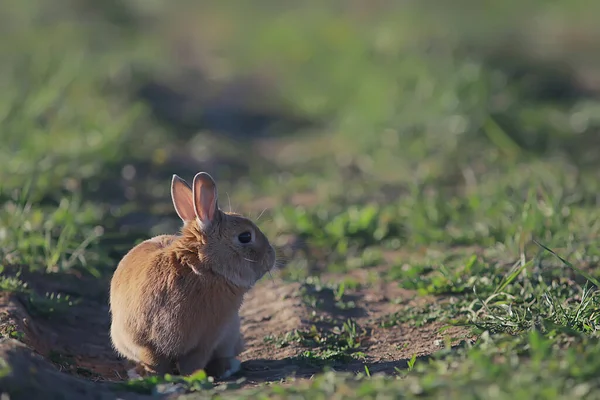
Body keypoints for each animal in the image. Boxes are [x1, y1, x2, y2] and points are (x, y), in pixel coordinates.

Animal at [108, 172, 276, 378]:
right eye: (245, 237)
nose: (271, 256)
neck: (199, 266)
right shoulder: (146, 340)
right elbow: (155, 360)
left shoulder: (206, 339)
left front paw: (192, 377)